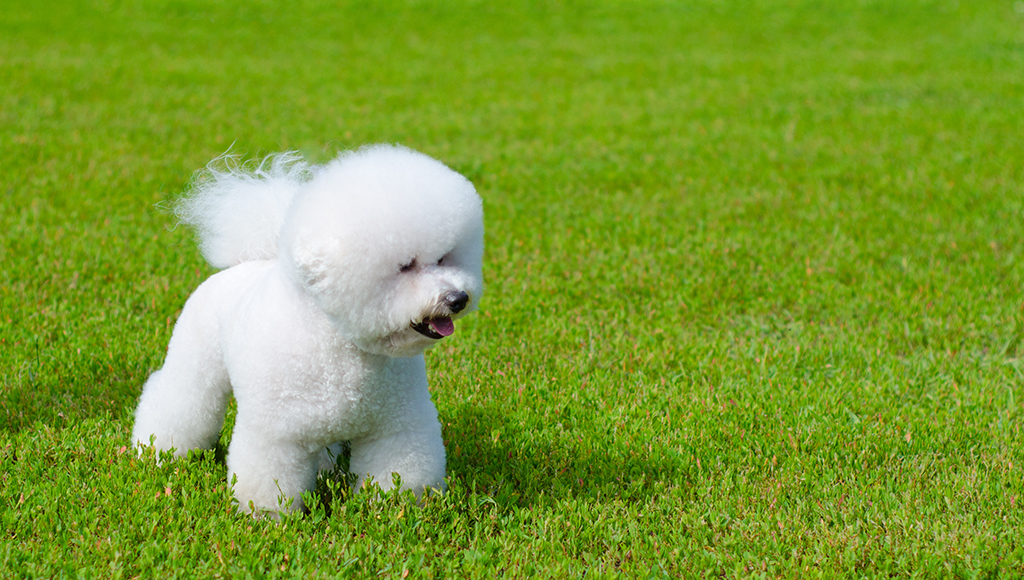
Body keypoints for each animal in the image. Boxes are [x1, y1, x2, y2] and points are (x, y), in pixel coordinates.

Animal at [132, 144, 483, 514]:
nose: (458, 298)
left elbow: (398, 469)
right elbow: (271, 479)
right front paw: (268, 516)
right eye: (405, 266)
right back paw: (157, 451)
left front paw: (395, 508)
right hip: (195, 362)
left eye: (444, 258)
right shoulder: (278, 433)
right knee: (178, 399)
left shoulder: (397, 425)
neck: (341, 345)